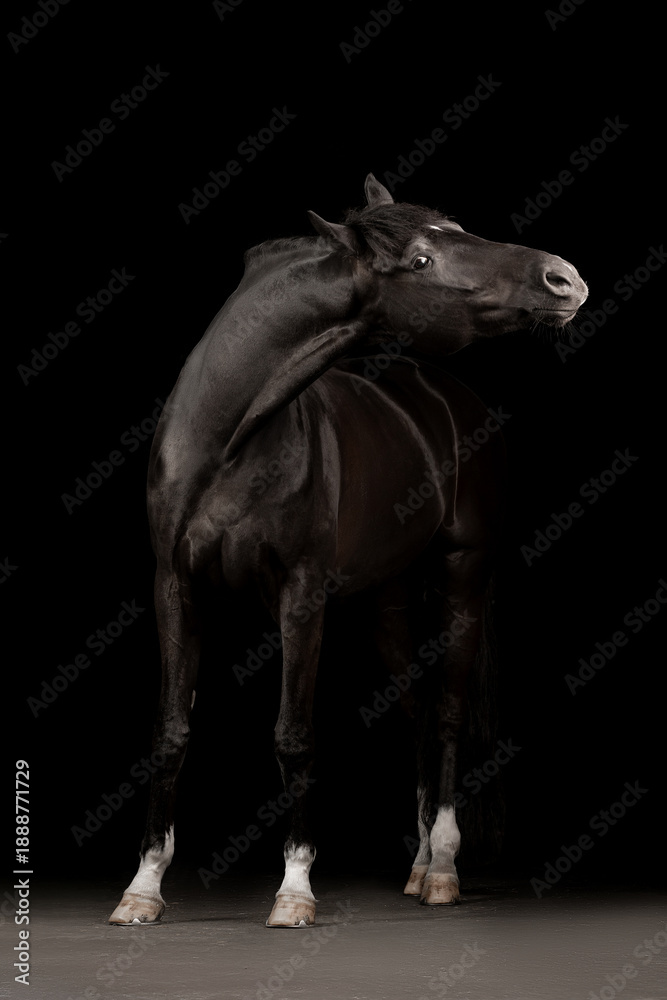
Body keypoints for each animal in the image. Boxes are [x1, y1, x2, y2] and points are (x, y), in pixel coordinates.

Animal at [108, 174, 587, 927]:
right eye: (420, 260)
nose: (562, 278)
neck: (227, 441)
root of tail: (447, 394)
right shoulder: (174, 589)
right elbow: (171, 731)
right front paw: (144, 886)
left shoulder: (301, 596)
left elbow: (294, 734)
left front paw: (295, 889)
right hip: (384, 605)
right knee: (417, 715)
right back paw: (417, 867)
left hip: (463, 575)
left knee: (446, 713)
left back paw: (442, 869)